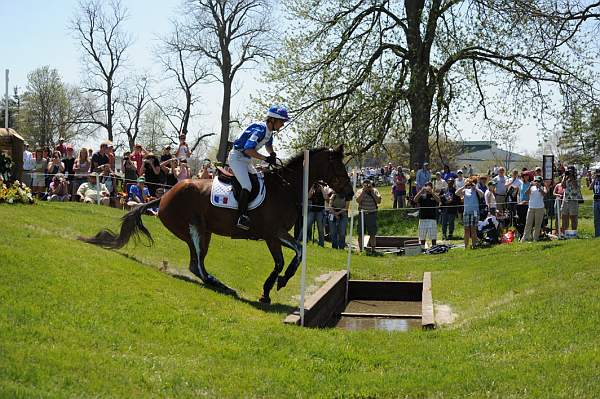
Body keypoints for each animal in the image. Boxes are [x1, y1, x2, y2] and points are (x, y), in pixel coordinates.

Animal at [79, 146, 352, 304]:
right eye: (338, 166)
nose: (349, 193)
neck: (285, 188)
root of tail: (163, 197)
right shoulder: (273, 233)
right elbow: (290, 256)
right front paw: (274, 286)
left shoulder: (276, 236)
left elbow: (292, 256)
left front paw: (275, 286)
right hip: (194, 230)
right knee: (197, 265)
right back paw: (222, 285)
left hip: (204, 232)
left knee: (196, 264)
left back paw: (220, 284)